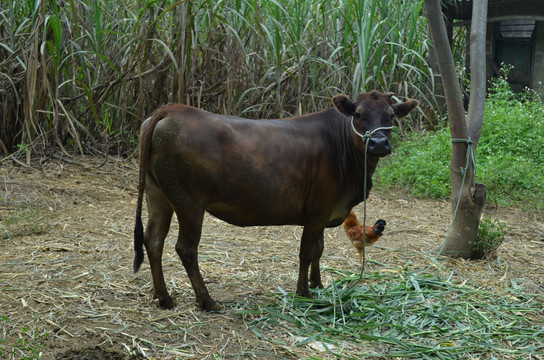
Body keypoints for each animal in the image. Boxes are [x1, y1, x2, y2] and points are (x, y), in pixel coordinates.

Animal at [134, 89, 418, 310]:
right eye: (358, 114)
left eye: (391, 116)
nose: (379, 143)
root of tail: (173, 109)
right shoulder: (318, 210)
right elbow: (307, 251)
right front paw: (304, 292)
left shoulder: (325, 210)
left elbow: (319, 249)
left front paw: (318, 283)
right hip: (189, 202)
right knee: (186, 248)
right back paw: (207, 301)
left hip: (158, 194)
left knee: (154, 239)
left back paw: (164, 298)